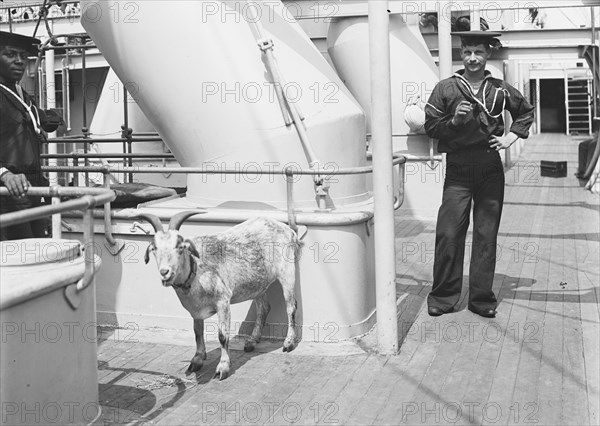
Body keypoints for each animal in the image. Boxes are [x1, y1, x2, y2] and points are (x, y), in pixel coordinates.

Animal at [139, 211, 302, 382]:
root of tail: (287, 229)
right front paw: (197, 360)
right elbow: (197, 333)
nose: (165, 272)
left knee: (291, 306)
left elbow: (222, 336)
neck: (196, 271)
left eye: (180, 247)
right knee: (264, 308)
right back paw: (252, 341)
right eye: (154, 248)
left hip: (287, 272)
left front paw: (222, 368)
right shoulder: (196, 310)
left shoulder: (223, 301)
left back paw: (288, 343)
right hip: (258, 284)